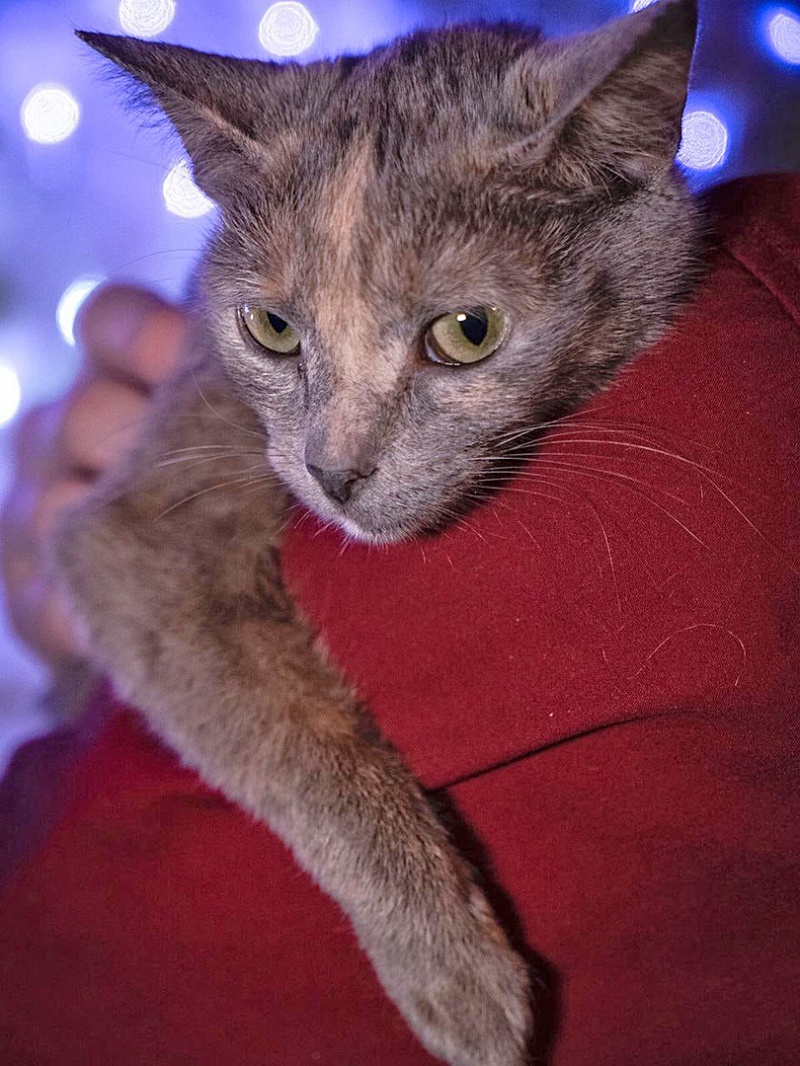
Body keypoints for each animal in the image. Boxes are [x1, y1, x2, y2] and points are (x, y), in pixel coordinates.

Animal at [57, 2, 700, 1063]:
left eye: (470, 332)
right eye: (272, 328)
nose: (334, 473)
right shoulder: (140, 521)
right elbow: (293, 735)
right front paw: (460, 979)